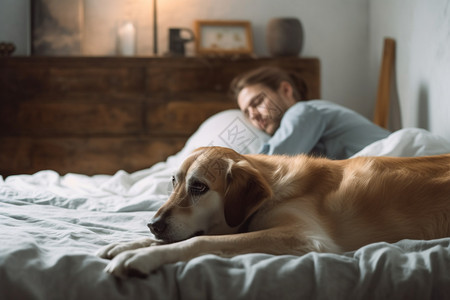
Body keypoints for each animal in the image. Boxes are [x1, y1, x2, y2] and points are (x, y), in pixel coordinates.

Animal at [97, 146, 450, 278]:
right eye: (174, 181)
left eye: (198, 187)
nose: (152, 224)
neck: (273, 190)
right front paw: (129, 244)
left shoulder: (302, 237)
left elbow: (200, 242)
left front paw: (141, 256)